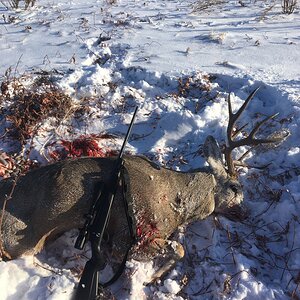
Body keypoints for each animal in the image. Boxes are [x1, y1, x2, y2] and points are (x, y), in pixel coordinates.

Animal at [0, 87, 284, 284]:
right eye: (235, 187)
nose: (244, 202)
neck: (177, 198)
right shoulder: (129, 238)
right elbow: (179, 248)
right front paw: (153, 277)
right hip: (18, 239)